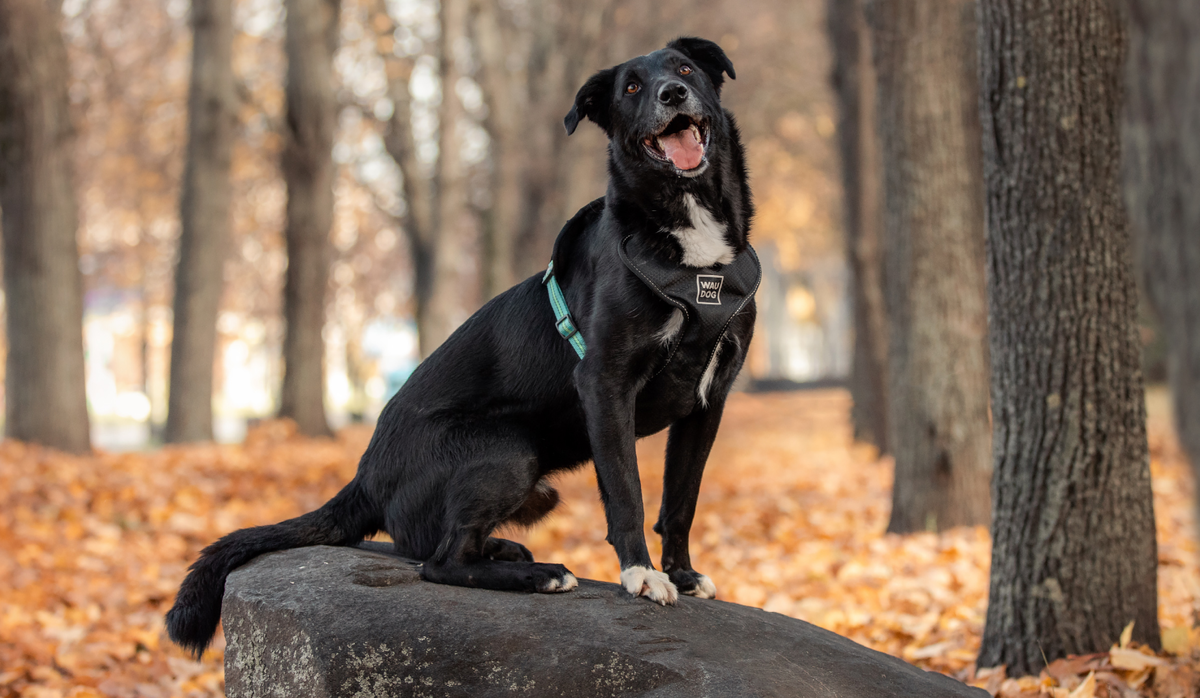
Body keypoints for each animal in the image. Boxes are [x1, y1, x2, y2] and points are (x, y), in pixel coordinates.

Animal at [166, 36, 758, 662]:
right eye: (631, 88)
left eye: (686, 69)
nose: (672, 94)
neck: (687, 250)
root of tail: (366, 475)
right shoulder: (605, 384)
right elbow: (627, 491)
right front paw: (642, 575)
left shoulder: (708, 400)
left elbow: (681, 500)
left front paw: (682, 573)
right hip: (508, 450)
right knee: (440, 561)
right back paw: (538, 574)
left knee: (441, 546)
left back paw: (507, 552)